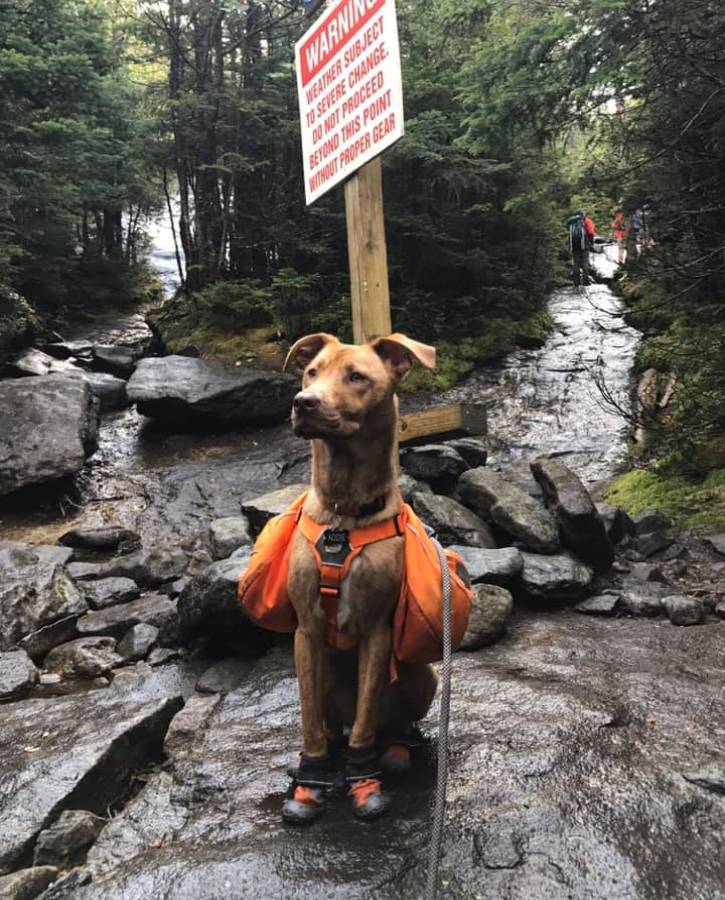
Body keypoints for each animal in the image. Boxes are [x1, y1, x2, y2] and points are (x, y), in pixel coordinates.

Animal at [280, 332, 438, 824]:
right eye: (311, 372)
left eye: (357, 377)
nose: (303, 403)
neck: (344, 514)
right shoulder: (306, 633)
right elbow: (309, 722)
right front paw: (310, 781)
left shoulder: (375, 632)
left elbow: (367, 721)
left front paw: (364, 782)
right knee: (332, 723)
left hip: (423, 676)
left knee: (392, 723)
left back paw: (396, 750)